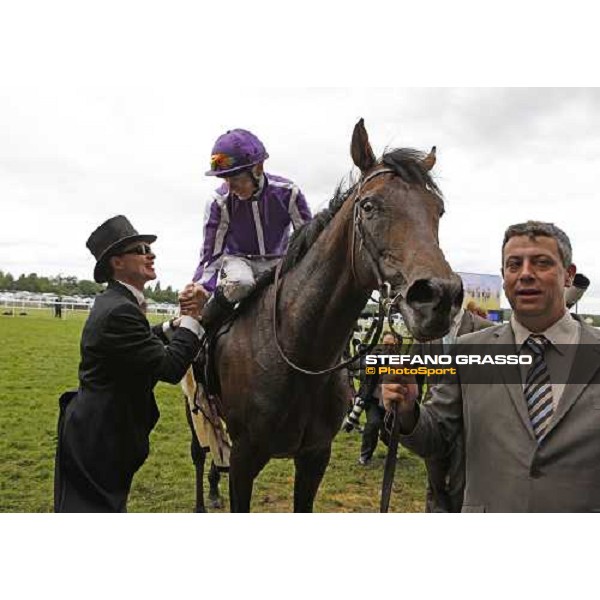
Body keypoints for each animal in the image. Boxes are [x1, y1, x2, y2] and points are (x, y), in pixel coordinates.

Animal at [190, 118, 462, 510]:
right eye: (369, 205)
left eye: (437, 209)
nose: (440, 297)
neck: (300, 356)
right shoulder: (245, 458)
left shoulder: (315, 456)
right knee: (201, 452)